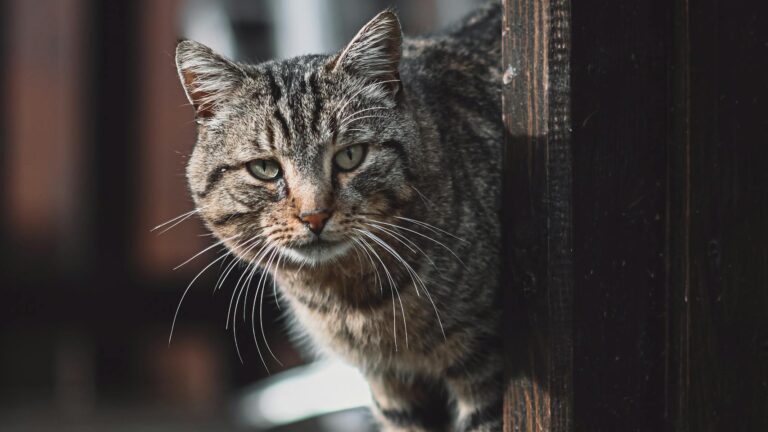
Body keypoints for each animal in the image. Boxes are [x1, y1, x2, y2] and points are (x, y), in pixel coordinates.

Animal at [177, 2, 508, 428]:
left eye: (350, 156)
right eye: (265, 168)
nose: (314, 215)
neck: (353, 303)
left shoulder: (484, 360)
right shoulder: (391, 386)